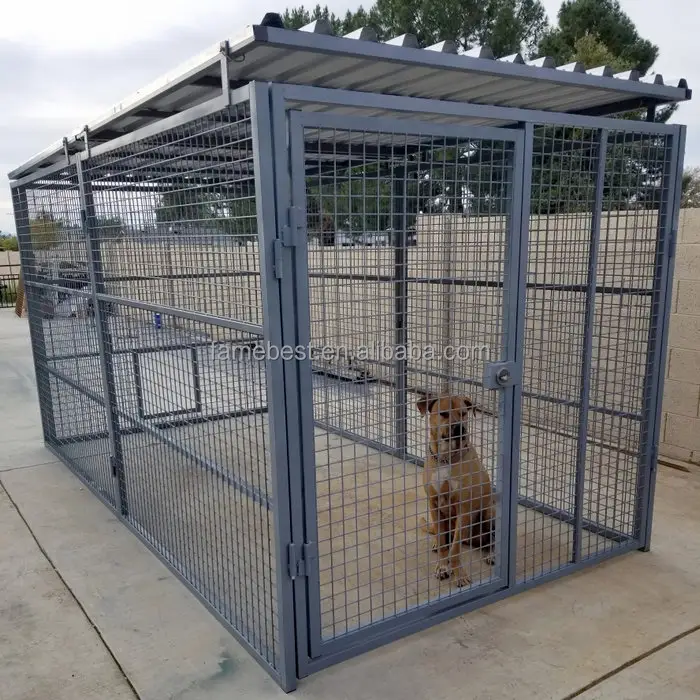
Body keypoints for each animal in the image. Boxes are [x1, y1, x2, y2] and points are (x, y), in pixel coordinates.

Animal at [416, 394, 498, 584]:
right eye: (444, 413)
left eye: (463, 413)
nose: (460, 427)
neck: (446, 458)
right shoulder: (434, 504)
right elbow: (444, 544)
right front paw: (442, 567)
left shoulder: (464, 508)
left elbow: (454, 549)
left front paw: (458, 573)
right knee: (442, 537)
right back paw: (437, 544)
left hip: (489, 513)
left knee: (490, 540)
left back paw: (491, 554)